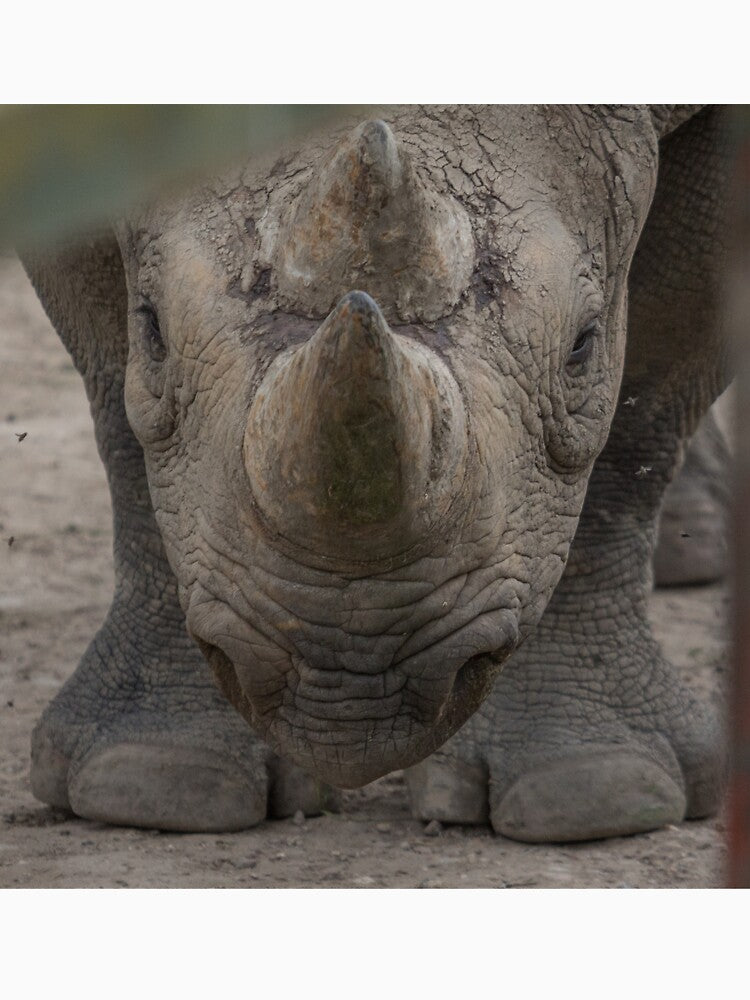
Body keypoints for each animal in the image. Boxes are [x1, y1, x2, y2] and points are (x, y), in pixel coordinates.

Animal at [20, 104, 730, 843]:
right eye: (153, 332)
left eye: (583, 348)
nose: (349, 685)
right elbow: (117, 396)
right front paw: (150, 781)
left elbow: (643, 400)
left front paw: (601, 789)